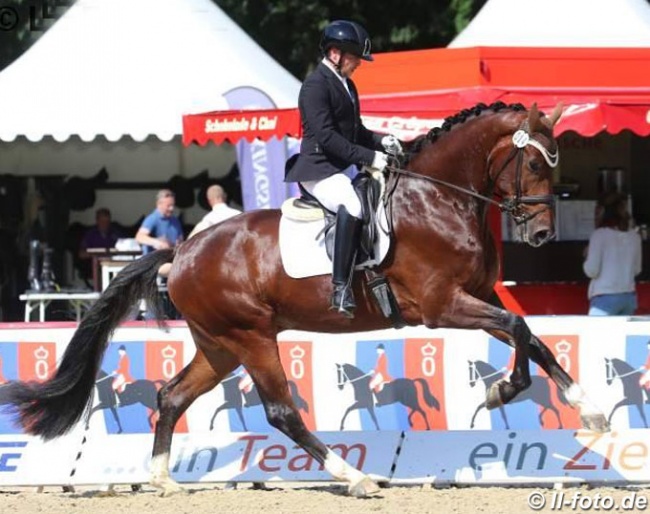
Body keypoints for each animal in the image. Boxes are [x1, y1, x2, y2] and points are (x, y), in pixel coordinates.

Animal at [0, 100, 608, 496]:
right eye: (535, 163)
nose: (541, 236)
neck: (439, 199)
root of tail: (185, 248)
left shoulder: (476, 296)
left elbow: (529, 335)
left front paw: (578, 405)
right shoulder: (443, 306)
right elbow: (521, 329)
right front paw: (514, 393)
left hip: (218, 345)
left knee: (172, 396)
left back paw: (162, 480)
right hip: (250, 337)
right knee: (280, 412)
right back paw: (355, 476)